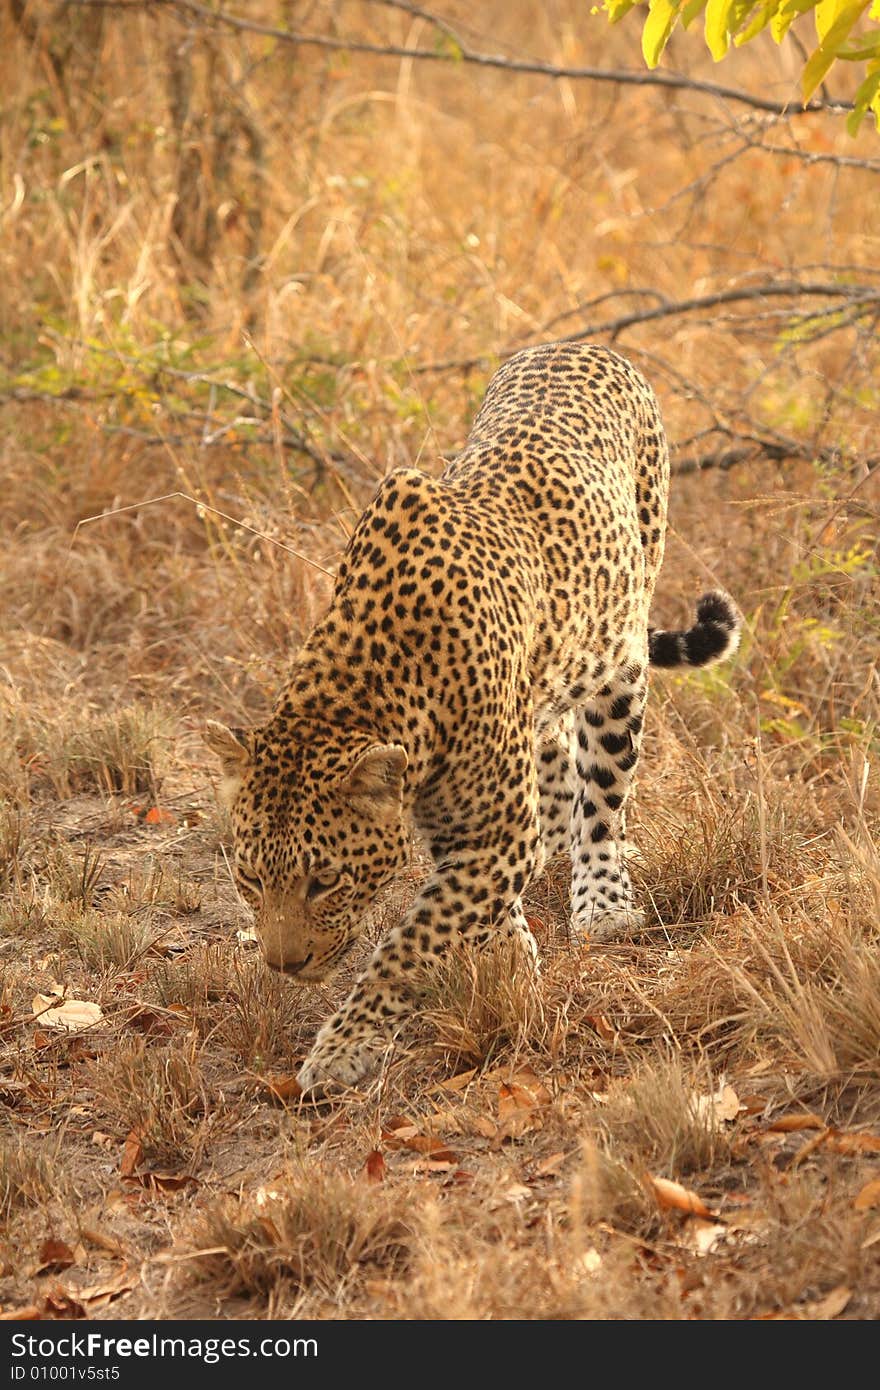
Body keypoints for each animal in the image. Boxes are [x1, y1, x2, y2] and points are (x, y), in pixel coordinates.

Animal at [205, 341, 739, 1089]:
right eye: (251, 878)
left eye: (324, 881)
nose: (285, 965)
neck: (374, 679)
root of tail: (580, 344)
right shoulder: (473, 828)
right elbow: (473, 906)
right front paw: (509, 956)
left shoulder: (492, 834)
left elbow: (413, 941)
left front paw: (342, 1049)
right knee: (551, 746)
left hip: (621, 655)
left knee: (603, 796)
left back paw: (602, 899)